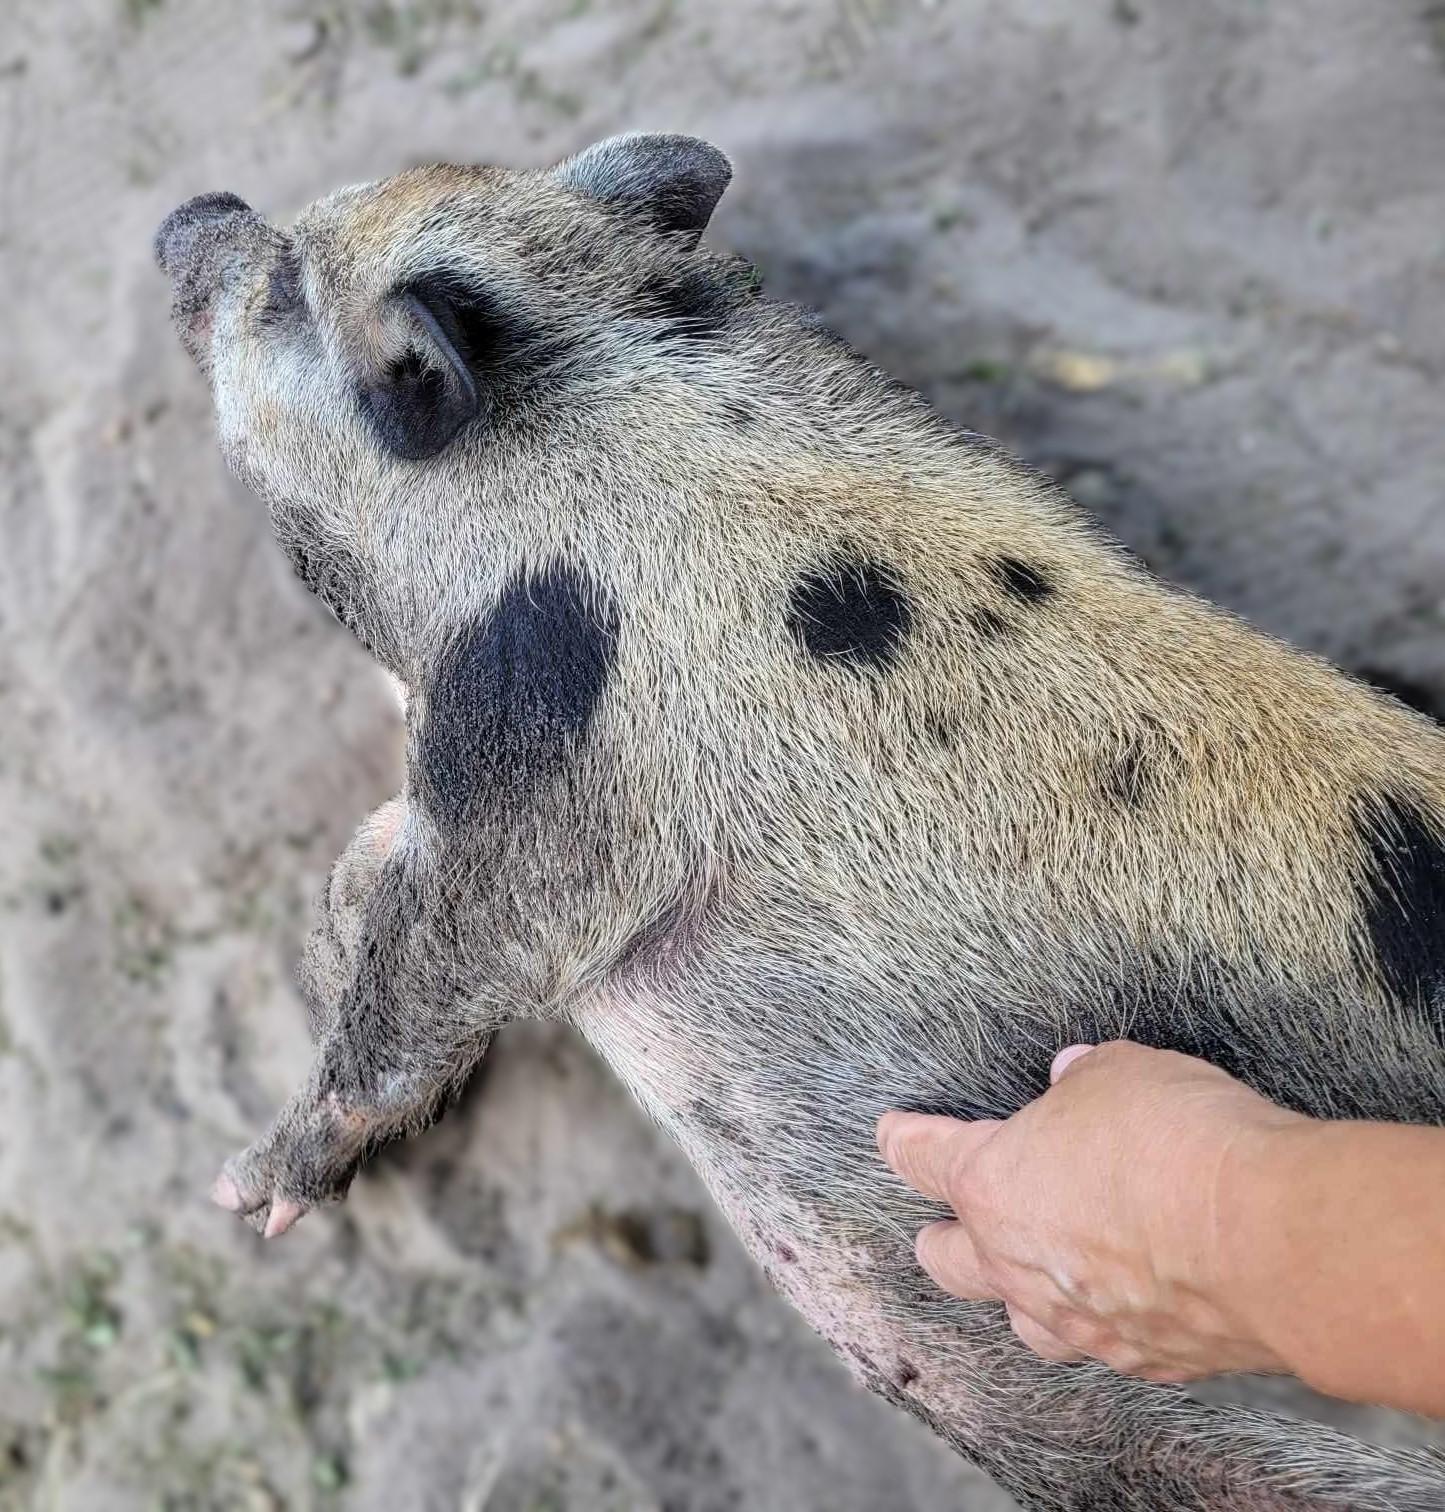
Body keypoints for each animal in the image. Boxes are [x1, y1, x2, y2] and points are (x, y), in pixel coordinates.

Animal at [154, 134, 1445, 1510]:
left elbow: (438, 968)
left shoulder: (544, 764)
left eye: (286, 288)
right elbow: (368, 863)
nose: (198, 208)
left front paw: (247, 1196)